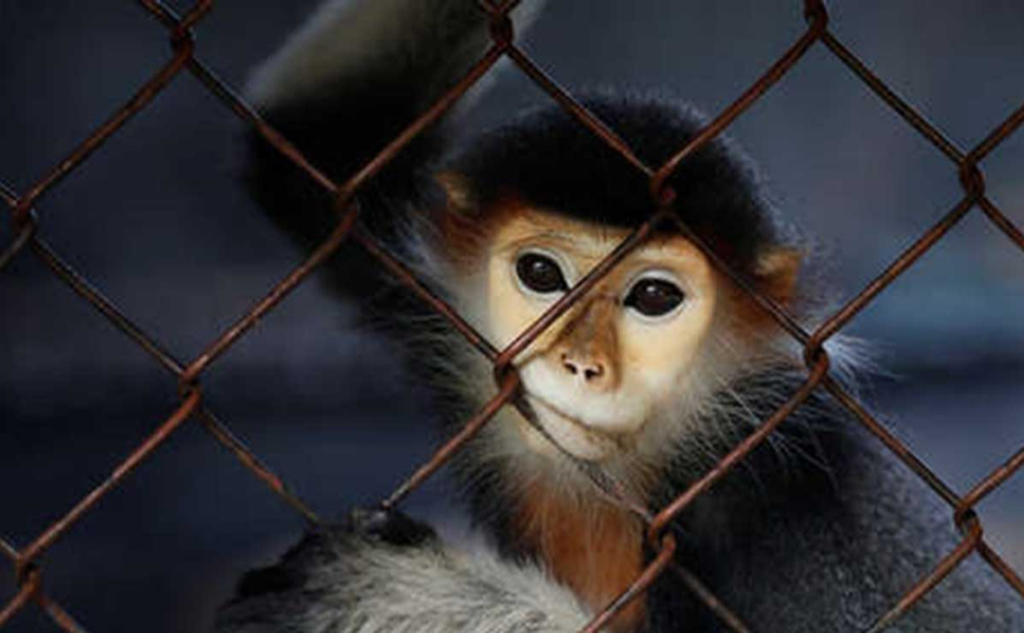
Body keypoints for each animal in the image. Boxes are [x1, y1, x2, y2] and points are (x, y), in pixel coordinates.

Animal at [211, 1, 1019, 630]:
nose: (581, 364)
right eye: (541, 274)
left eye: (653, 297)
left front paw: (391, 593)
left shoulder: (775, 497)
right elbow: (319, 142)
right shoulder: (422, 284)